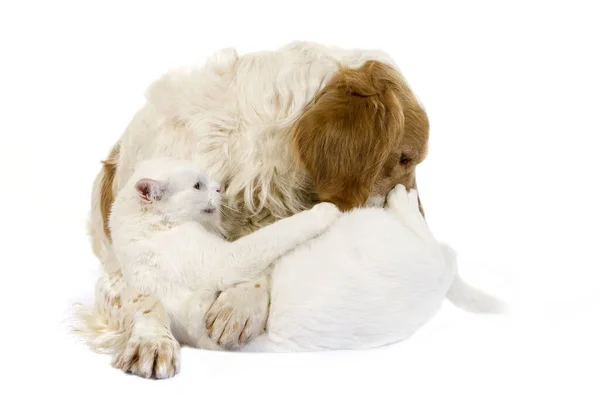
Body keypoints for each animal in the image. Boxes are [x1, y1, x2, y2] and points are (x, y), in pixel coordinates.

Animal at [77, 41, 432, 378]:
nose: (421, 224)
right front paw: (152, 340)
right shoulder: (115, 271)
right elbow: (143, 299)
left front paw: (241, 303)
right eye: (405, 159)